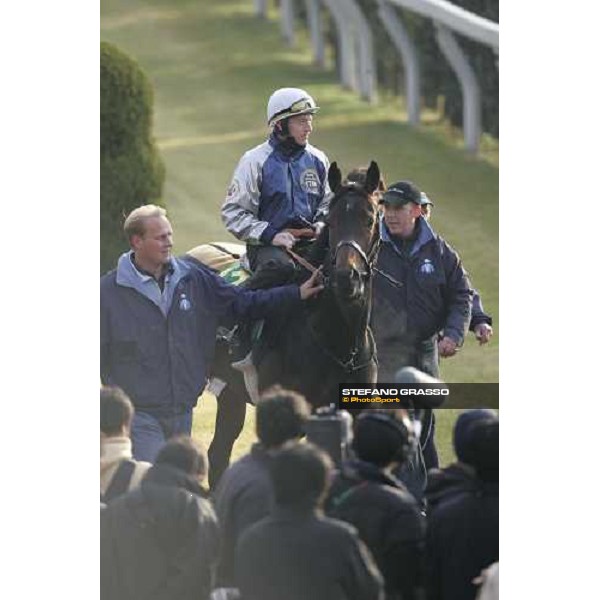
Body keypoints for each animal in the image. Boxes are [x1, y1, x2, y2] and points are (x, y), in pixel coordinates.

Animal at [199, 161, 382, 488]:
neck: (337, 342)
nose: (346, 277)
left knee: (218, 452)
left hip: (230, 392)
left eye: (369, 218)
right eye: (332, 220)